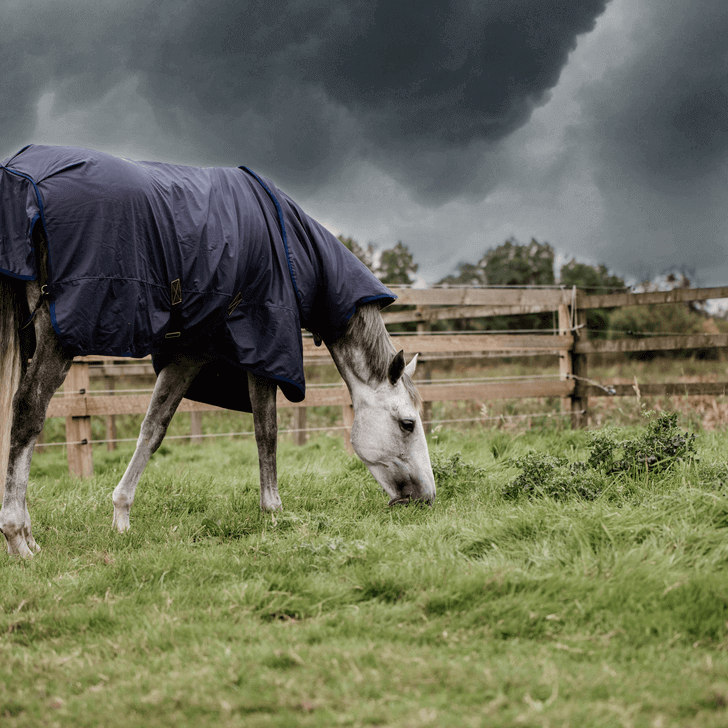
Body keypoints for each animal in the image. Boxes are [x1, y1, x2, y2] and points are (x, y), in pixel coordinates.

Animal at [0, 145, 435, 557]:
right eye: (408, 424)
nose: (428, 499)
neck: (294, 252)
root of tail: (20, 174)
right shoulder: (264, 351)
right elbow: (266, 430)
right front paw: (273, 511)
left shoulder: (188, 356)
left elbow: (152, 430)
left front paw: (121, 515)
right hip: (57, 340)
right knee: (27, 412)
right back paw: (19, 536)